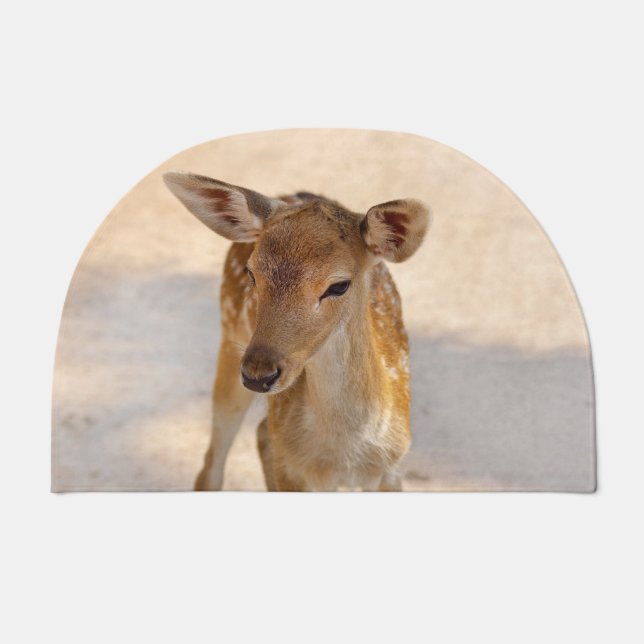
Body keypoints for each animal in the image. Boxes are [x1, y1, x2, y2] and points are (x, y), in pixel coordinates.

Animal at [163, 172, 430, 491]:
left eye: (339, 285)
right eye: (252, 273)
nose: (258, 374)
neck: (344, 459)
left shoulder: (391, 470)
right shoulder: (294, 472)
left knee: (262, 432)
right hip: (230, 338)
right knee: (212, 465)